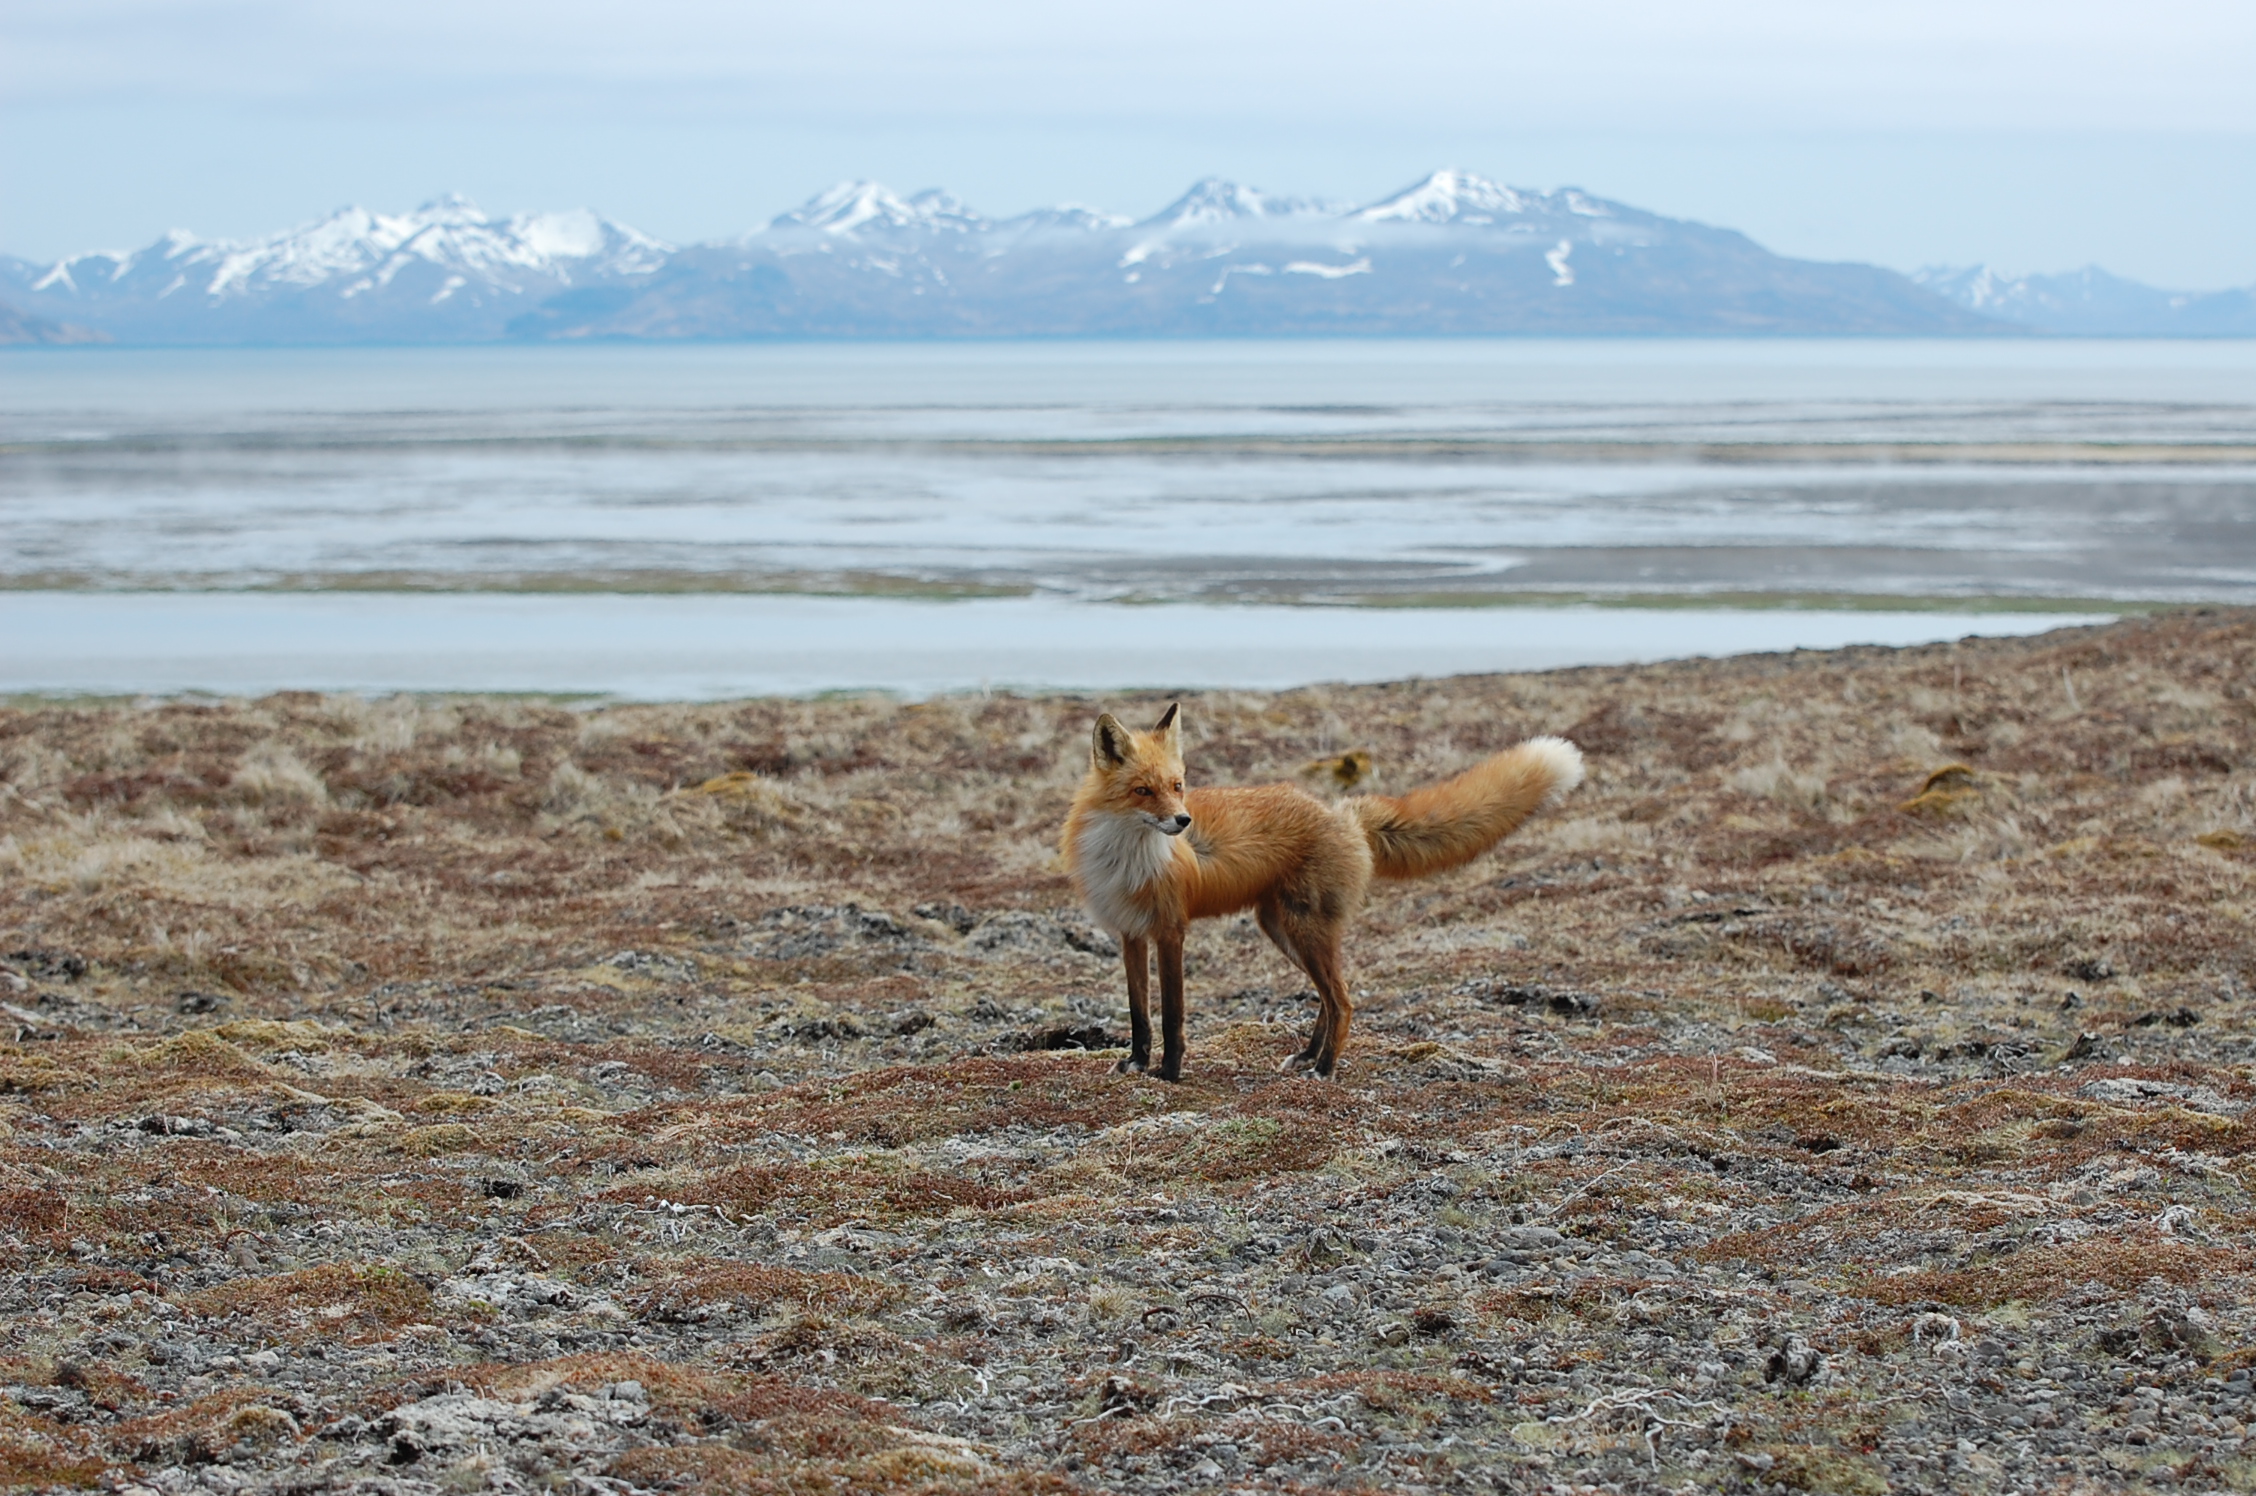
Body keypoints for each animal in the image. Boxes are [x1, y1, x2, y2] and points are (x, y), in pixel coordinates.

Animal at [1060, 708, 1579, 1083]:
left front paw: (1169, 1074)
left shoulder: (1170, 931)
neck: (1127, 856)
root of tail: (1342, 813)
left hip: (1303, 929)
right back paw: (1308, 1058)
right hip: (1284, 930)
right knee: (1329, 1001)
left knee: (1343, 1002)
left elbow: (1171, 1015)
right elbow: (1139, 1013)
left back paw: (1325, 1069)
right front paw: (1136, 1064)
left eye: (1177, 786)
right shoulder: (1130, 934)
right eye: (1142, 791)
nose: (1183, 821)